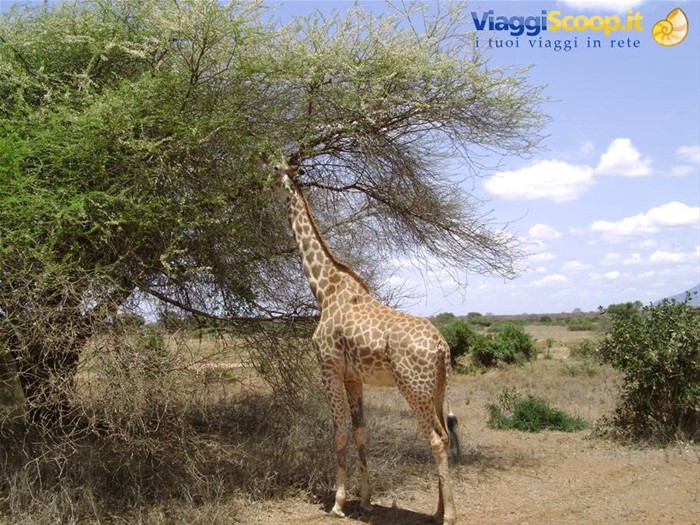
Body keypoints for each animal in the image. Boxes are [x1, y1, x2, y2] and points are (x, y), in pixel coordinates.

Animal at [269, 162, 459, 525]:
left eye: (275, 172)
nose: (261, 183)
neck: (324, 290)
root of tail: (443, 348)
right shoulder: (353, 377)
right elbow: (361, 432)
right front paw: (367, 501)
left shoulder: (328, 368)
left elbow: (339, 432)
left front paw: (338, 503)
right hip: (438, 389)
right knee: (444, 434)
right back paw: (437, 510)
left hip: (414, 387)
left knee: (436, 440)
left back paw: (449, 516)